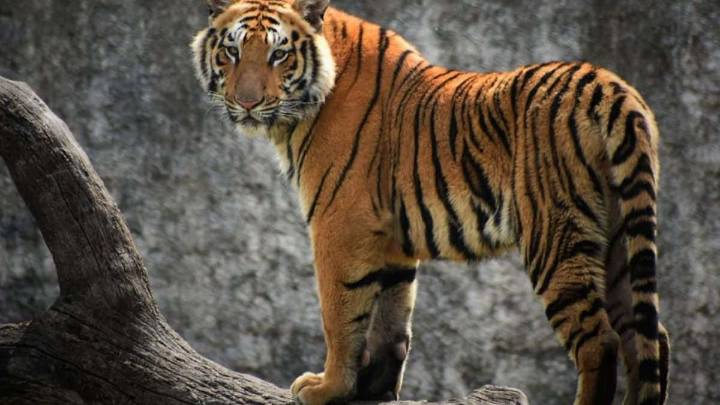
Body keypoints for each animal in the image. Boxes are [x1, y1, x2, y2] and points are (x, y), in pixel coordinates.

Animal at [191, 1, 670, 404]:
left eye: (279, 55)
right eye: (232, 51)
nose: (247, 102)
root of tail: (613, 88)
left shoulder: (339, 223)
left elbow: (341, 314)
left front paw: (328, 389)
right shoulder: (390, 237)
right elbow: (391, 318)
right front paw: (374, 390)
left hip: (555, 234)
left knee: (600, 341)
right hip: (619, 237)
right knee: (649, 339)